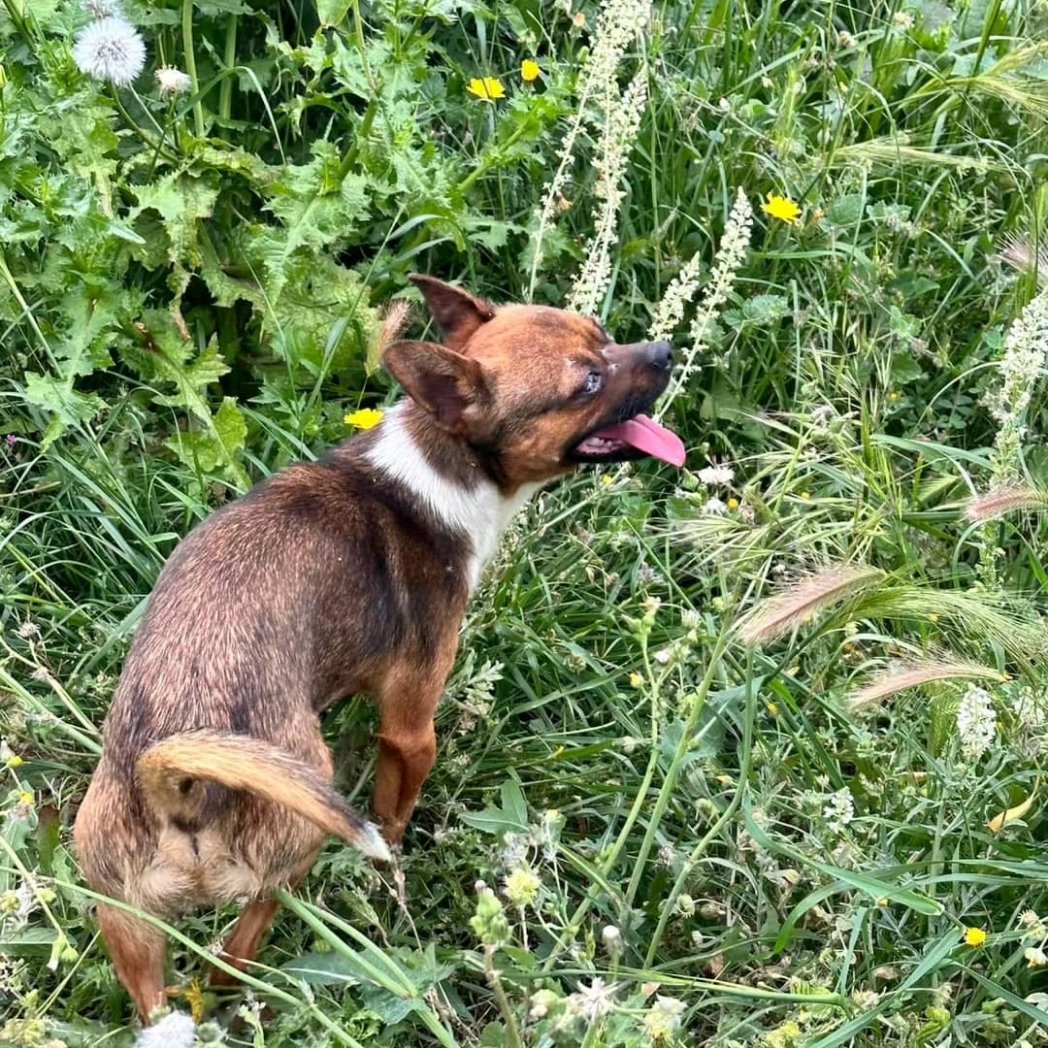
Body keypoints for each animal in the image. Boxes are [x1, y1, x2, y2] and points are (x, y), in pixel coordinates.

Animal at [71, 274, 679, 1018]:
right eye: (588, 382)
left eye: (605, 334)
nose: (666, 349)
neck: (432, 468)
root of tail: (177, 785)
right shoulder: (413, 732)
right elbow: (396, 812)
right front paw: (394, 869)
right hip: (294, 846)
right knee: (237, 952)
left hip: (127, 922)